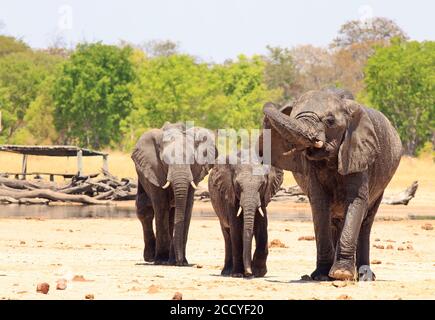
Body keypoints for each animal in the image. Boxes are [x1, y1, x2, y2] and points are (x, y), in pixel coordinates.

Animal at [131, 122, 216, 264]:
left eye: (192, 160)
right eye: (165, 161)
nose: (180, 262)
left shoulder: (194, 173)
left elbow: (187, 207)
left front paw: (181, 262)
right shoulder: (155, 169)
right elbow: (161, 205)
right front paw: (161, 260)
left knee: (171, 213)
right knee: (144, 208)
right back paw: (151, 258)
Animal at [260, 87, 404, 280]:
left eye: (330, 121)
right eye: (294, 116)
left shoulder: (357, 152)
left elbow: (356, 201)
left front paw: (342, 274)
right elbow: (320, 205)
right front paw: (321, 276)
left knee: (366, 222)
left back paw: (365, 276)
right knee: (335, 221)